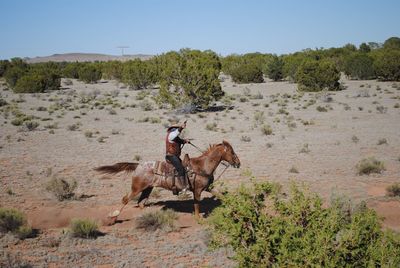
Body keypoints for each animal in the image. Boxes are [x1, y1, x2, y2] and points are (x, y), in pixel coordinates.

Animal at [94, 139, 241, 221]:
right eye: (232, 152)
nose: (238, 163)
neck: (203, 166)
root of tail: (138, 165)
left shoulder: (208, 188)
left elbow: (222, 196)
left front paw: (234, 209)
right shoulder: (198, 190)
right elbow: (196, 204)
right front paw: (198, 218)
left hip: (147, 189)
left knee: (141, 203)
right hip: (137, 188)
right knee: (126, 199)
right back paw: (113, 217)